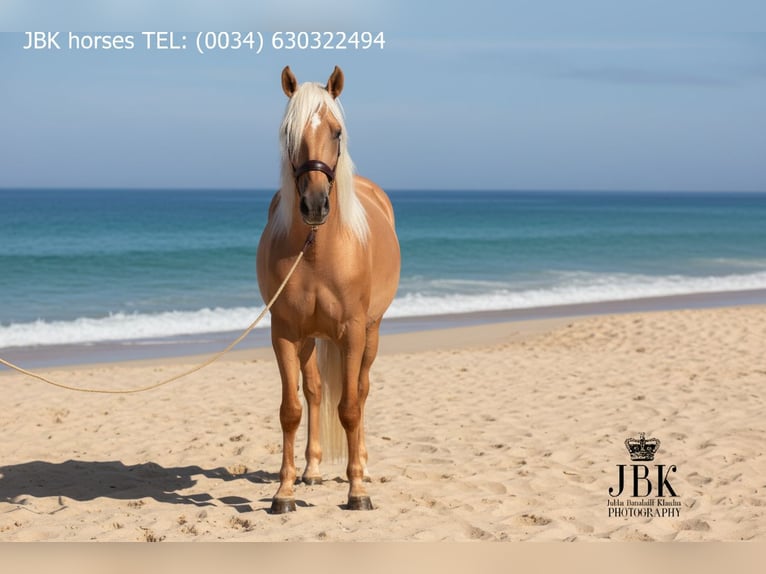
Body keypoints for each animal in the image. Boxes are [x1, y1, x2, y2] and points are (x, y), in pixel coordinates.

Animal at [256, 66, 401, 513]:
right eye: (289, 133)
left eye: (336, 132)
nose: (315, 204)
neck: (318, 251)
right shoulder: (284, 333)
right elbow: (291, 409)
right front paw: (283, 492)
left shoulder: (353, 332)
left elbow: (351, 407)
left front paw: (357, 491)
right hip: (308, 339)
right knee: (316, 392)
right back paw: (312, 470)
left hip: (371, 332)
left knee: (362, 390)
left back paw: (364, 466)